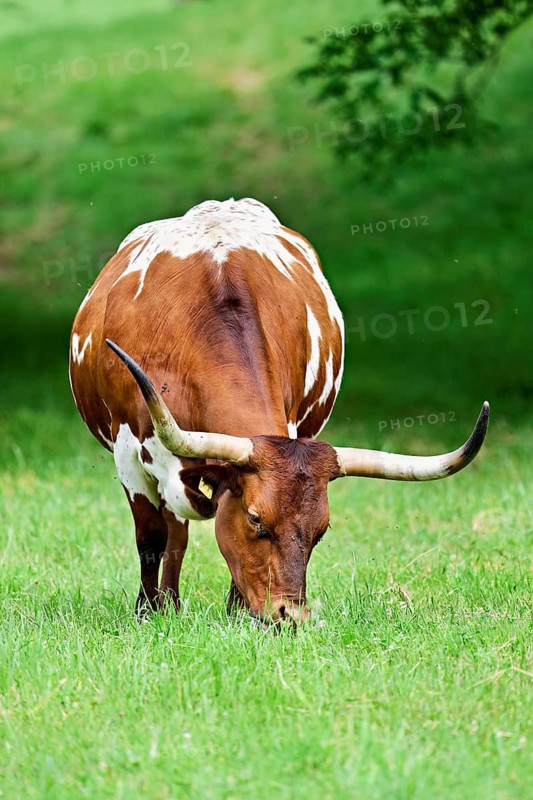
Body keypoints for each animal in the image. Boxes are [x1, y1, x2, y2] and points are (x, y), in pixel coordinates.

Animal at [69, 197, 489, 624]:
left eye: (322, 529)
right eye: (255, 518)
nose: (290, 614)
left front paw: (237, 611)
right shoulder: (129, 456)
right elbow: (152, 536)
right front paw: (149, 612)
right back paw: (167, 603)